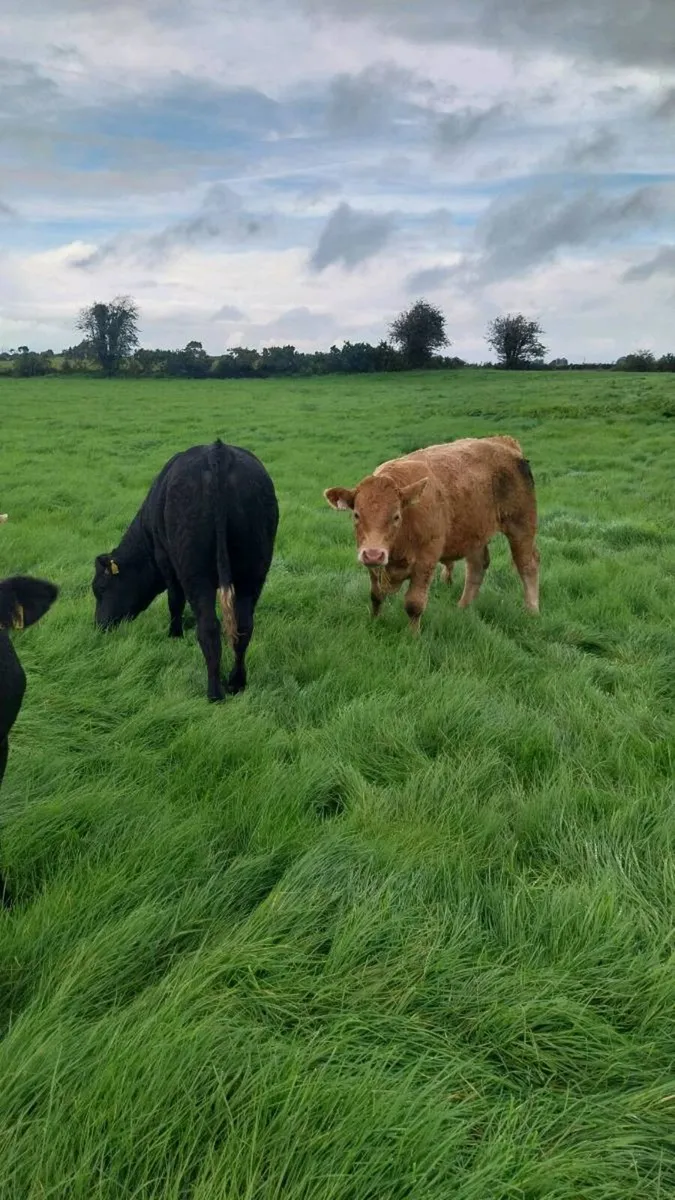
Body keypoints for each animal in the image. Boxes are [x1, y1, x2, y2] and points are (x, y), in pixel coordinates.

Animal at [92, 439, 279, 702]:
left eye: (100, 588)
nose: (99, 626)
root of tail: (219, 452)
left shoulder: (166, 561)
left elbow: (174, 601)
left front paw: (174, 634)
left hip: (195, 572)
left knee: (208, 628)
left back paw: (214, 693)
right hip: (253, 570)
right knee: (243, 626)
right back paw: (236, 683)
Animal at [324, 436, 539, 633]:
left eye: (396, 516)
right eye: (356, 515)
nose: (374, 554)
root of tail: (504, 443)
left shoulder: (425, 561)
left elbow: (414, 604)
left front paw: (413, 636)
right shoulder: (373, 565)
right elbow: (376, 596)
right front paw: (374, 623)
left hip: (521, 524)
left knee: (527, 564)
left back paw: (532, 611)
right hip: (474, 534)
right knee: (477, 566)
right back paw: (462, 608)